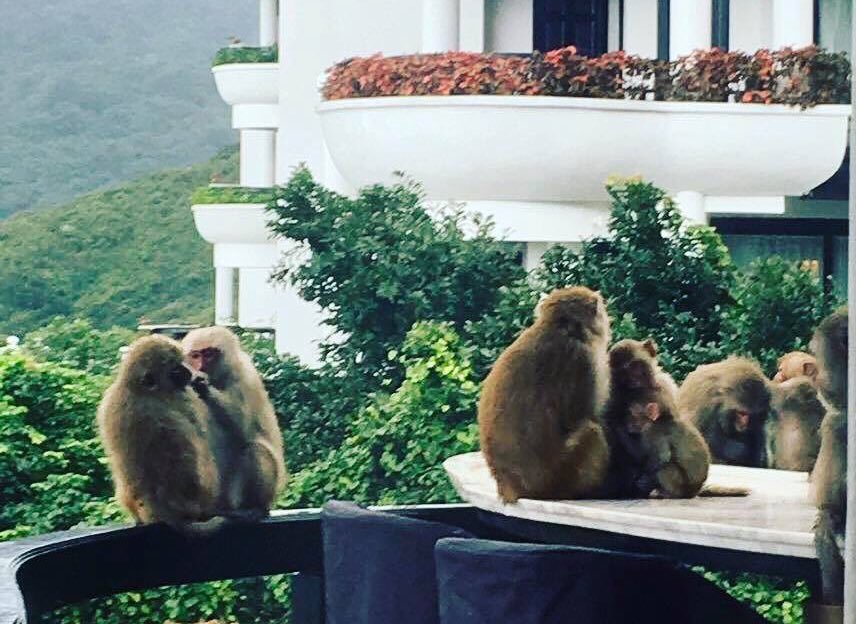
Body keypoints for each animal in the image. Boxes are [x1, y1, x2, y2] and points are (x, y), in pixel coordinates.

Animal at [182, 326, 286, 518]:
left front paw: (203, 385)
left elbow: (243, 428)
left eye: (209, 354)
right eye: (195, 355)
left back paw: (251, 507)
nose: (200, 367)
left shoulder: (245, 376)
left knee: (255, 450)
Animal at [478, 286, 611, 503]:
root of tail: (508, 485)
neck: (558, 330)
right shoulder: (582, 360)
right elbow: (579, 416)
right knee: (591, 431)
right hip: (557, 478)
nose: (606, 318)